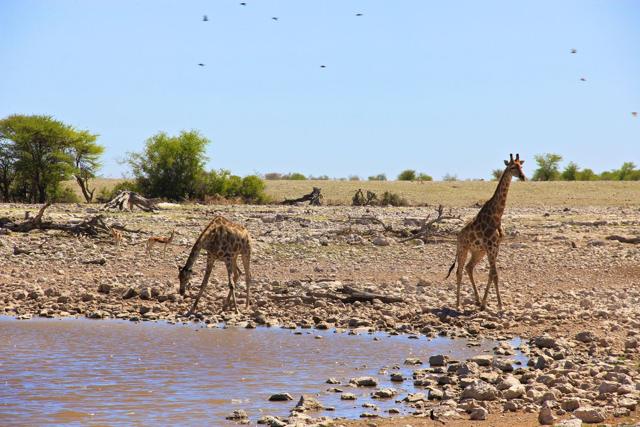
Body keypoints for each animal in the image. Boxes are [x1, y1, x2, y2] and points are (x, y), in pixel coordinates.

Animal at [445, 153, 525, 311]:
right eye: (512, 167)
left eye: (521, 166)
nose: (523, 176)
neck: (496, 216)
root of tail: (458, 236)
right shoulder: (490, 246)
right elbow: (495, 274)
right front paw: (500, 306)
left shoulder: (495, 247)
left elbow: (491, 274)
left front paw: (484, 303)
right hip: (463, 249)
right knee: (459, 271)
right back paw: (458, 305)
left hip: (478, 251)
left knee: (469, 268)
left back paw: (476, 301)